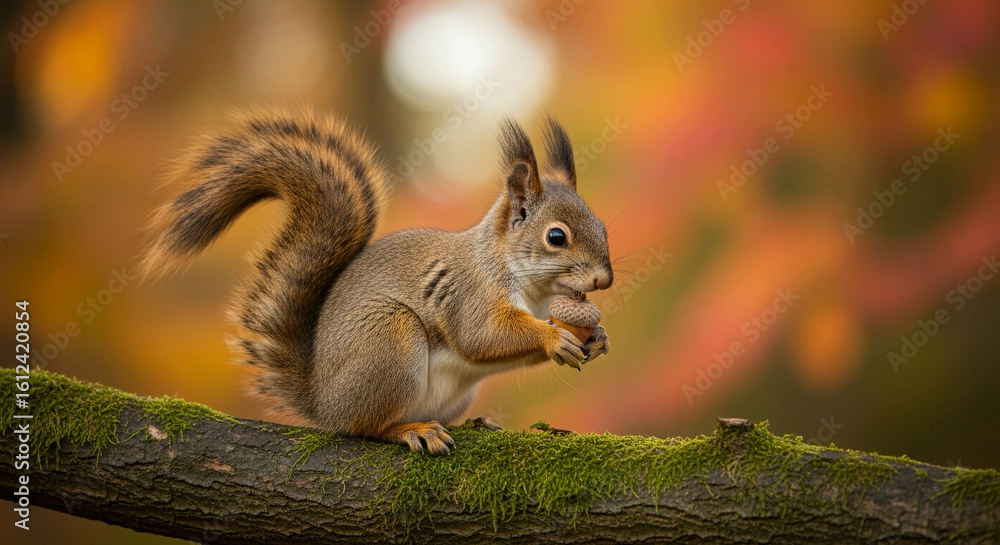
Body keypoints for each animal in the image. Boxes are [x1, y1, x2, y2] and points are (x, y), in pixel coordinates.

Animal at [141, 107, 613, 454]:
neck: (533, 290)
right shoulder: (469, 294)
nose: (604, 279)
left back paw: (474, 422)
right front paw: (554, 338)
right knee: (365, 426)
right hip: (389, 341)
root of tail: (322, 401)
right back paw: (411, 430)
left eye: (603, 226)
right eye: (556, 237)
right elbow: (482, 335)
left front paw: (598, 337)